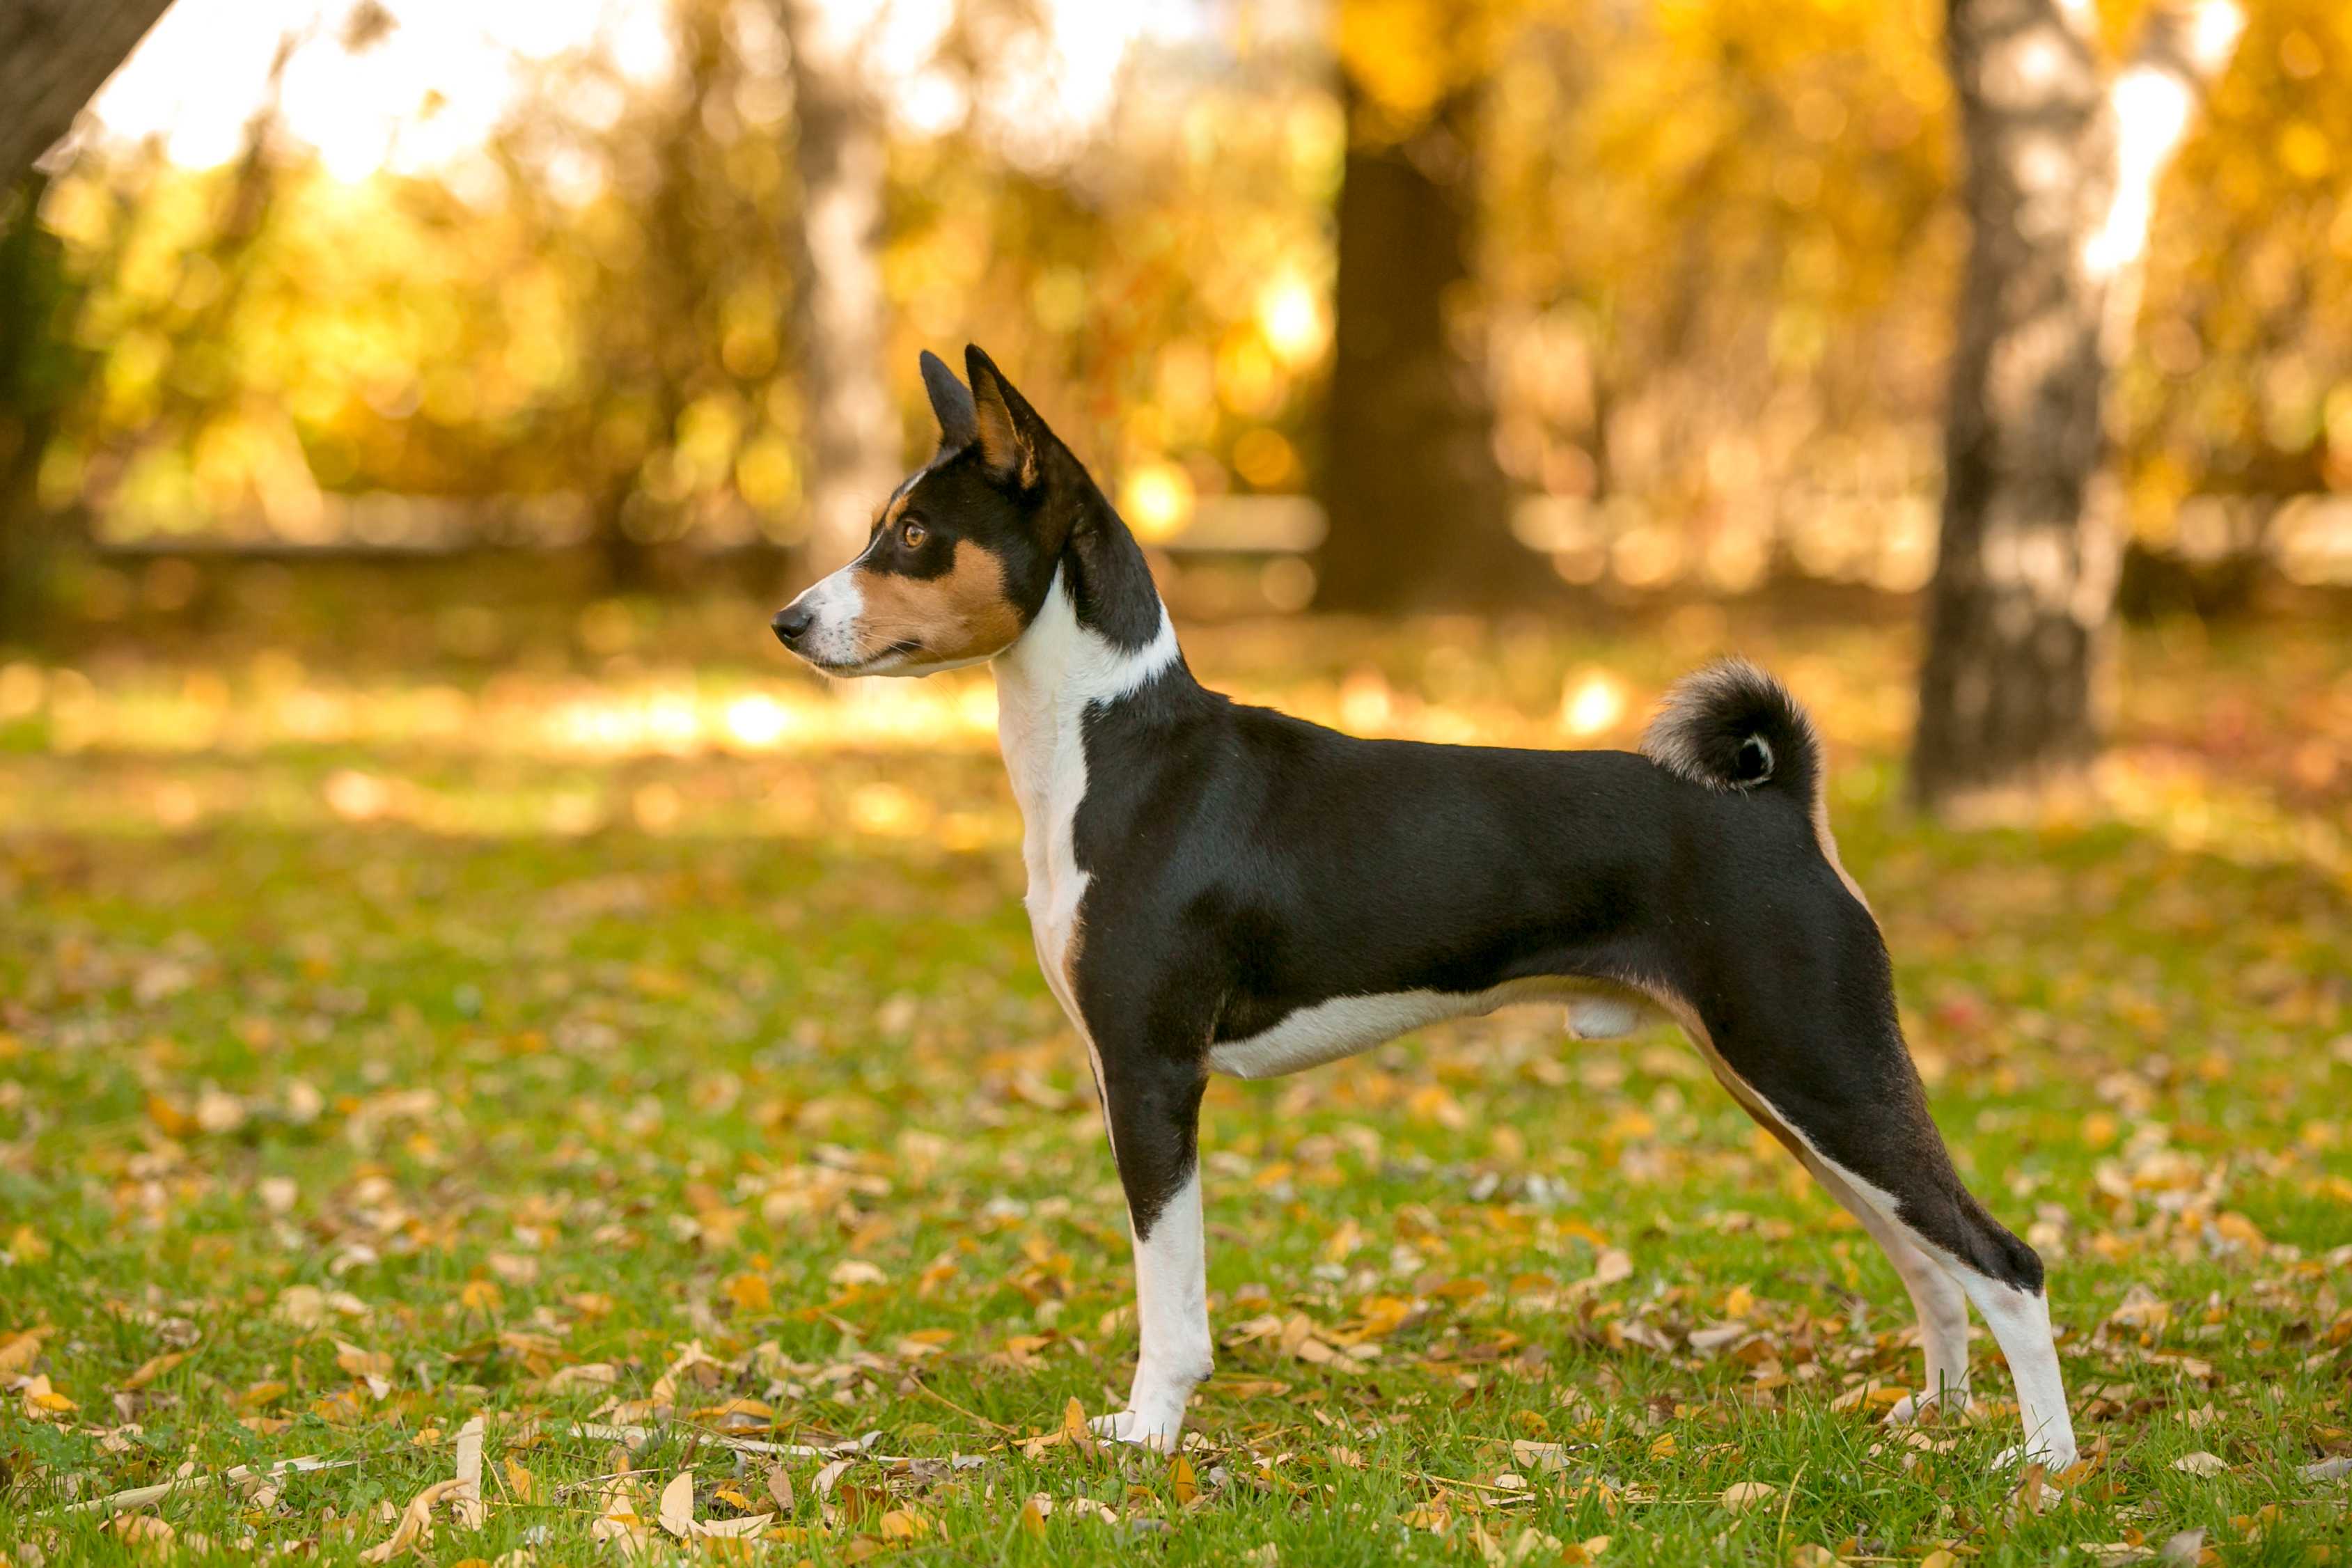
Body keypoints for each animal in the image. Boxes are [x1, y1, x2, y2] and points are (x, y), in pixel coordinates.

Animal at [771, 343, 2079, 1476]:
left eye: (913, 535)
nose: (788, 622)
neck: (1112, 749)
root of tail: (1780, 801)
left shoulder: (1151, 1073)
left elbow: (1169, 1296)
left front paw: (1148, 1434)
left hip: (1817, 1063)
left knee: (2003, 1260)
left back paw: (2043, 1466)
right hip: (1788, 1088)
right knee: (1927, 1262)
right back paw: (1932, 1415)